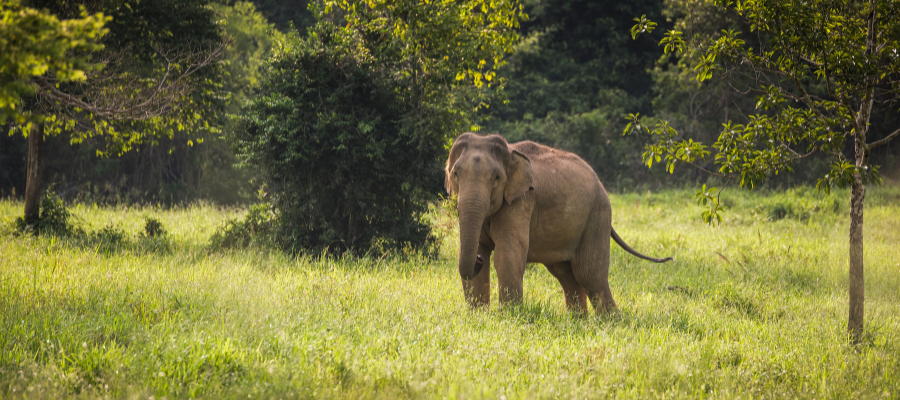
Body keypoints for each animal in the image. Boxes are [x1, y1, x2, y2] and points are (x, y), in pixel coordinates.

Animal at [442, 133, 668, 314]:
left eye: (497, 178)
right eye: (455, 174)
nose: (478, 261)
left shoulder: (522, 202)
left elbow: (508, 255)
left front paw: (508, 316)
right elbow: (478, 248)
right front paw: (478, 314)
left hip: (597, 216)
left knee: (589, 274)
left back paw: (611, 321)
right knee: (565, 274)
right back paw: (578, 321)